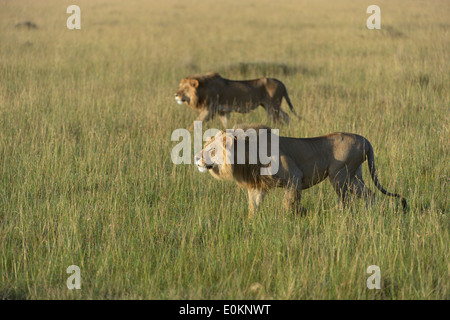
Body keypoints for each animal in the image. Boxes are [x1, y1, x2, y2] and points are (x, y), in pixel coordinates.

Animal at [193, 124, 408, 219]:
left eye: (212, 150)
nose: (196, 158)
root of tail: (366, 140)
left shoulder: (294, 178)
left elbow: (289, 204)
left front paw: (292, 219)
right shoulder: (257, 186)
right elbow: (253, 207)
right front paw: (251, 223)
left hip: (339, 176)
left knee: (345, 201)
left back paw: (339, 215)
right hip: (354, 177)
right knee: (370, 195)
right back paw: (372, 214)